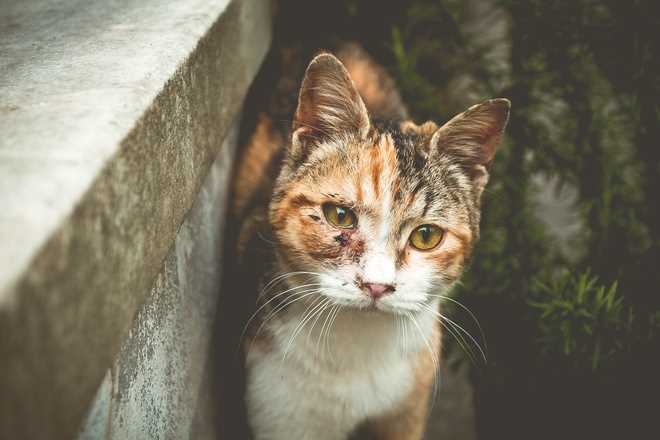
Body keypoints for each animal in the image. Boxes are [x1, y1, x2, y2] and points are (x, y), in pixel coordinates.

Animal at [227, 43, 510, 438]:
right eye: (339, 216)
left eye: (426, 236)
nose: (377, 286)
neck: (358, 346)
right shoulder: (280, 412)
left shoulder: (407, 406)